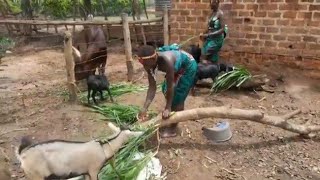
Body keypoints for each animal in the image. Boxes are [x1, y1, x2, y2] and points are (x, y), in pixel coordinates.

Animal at [15, 122, 143, 180]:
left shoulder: (85, 172)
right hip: (36, 175)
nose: (143, 133)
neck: (103, 148)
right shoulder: (93, 170)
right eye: (132, 134)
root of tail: (22, 155)